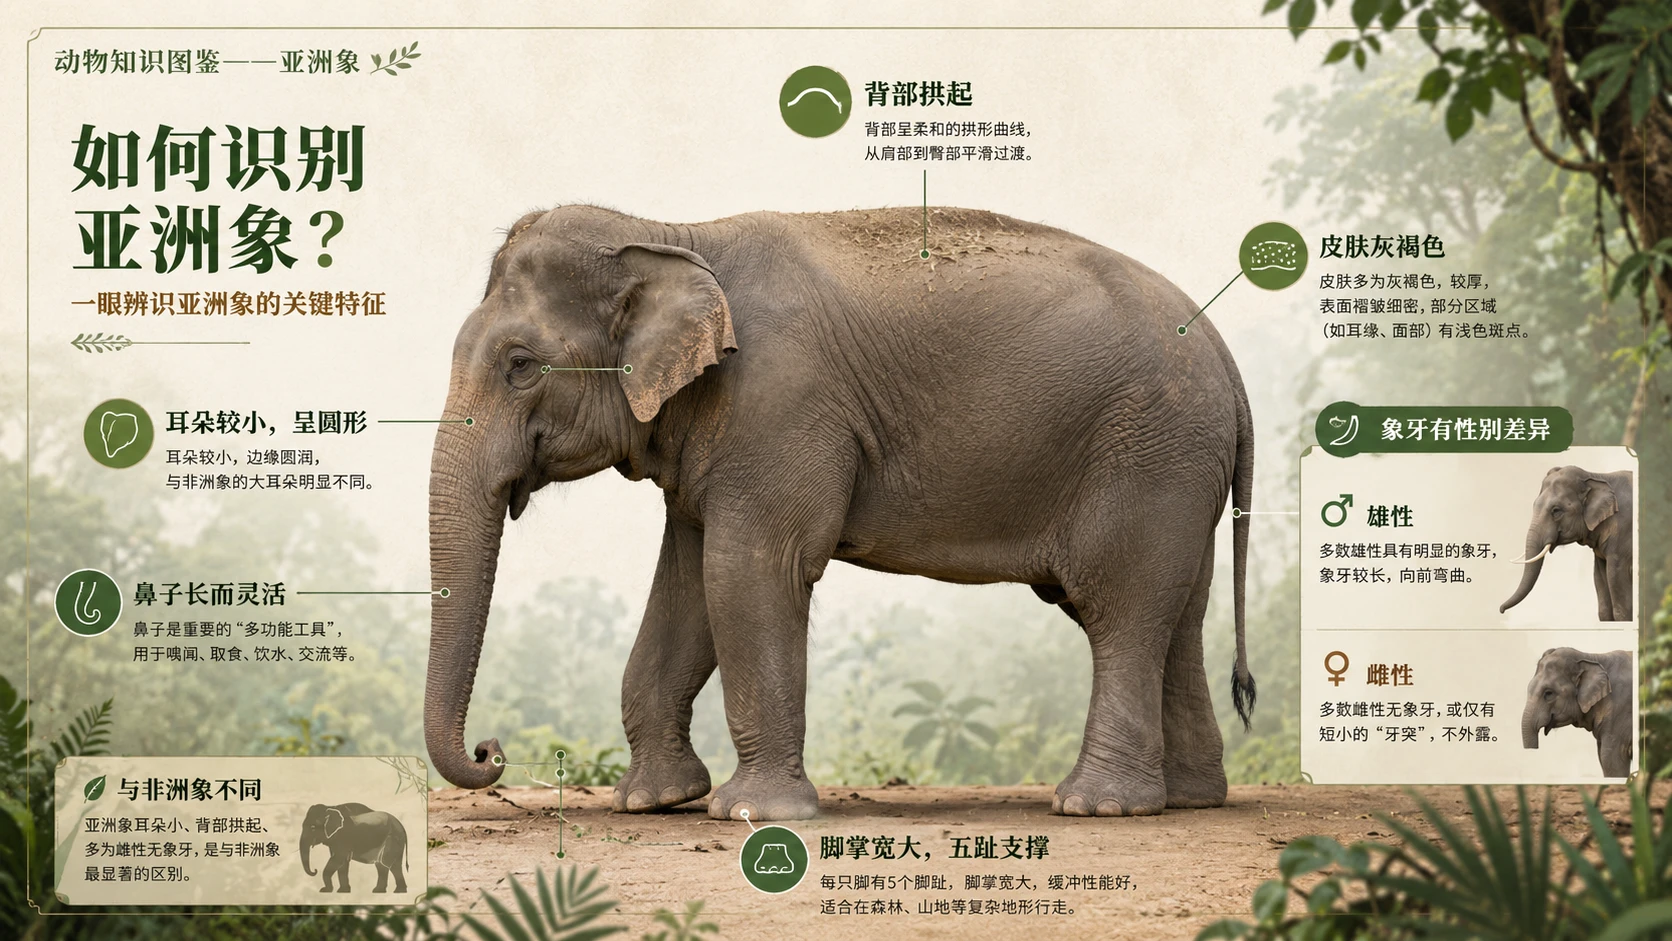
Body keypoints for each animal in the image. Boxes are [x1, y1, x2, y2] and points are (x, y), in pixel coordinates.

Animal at [425, 204, 1255, 820]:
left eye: (520, 365)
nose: (491, 752)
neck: (673, 234)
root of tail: (1226, 352)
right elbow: (689, 586)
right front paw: (653, 801)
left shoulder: (781, 406)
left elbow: (747, 571)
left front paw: (751, 813)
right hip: (1181, 468)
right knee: (1180, 614)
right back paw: (1189, 797)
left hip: (1150, 453)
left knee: (1121, 607)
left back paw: (1096, 805)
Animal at [1499, 466, 1633, 621]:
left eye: (1556, 510)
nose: (1501, 610)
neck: (1595, 476)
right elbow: (1600, 579)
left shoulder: (1622, 536)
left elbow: (1616, 578)